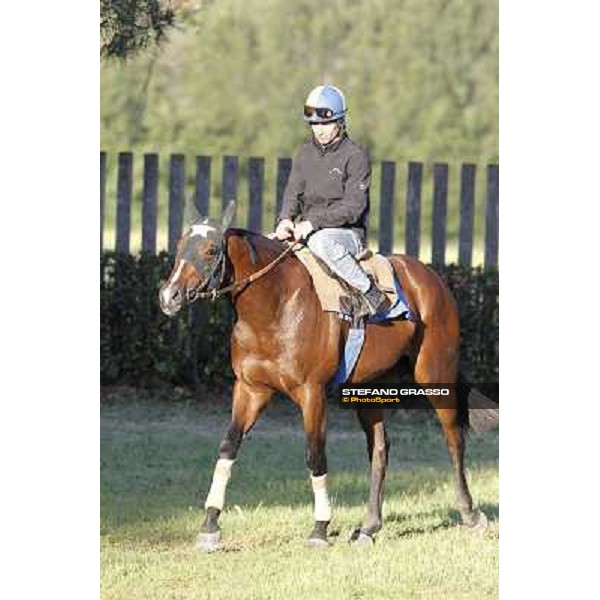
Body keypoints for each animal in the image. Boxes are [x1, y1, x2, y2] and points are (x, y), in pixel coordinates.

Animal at [158, 203, 496, 552]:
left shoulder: (312, 394)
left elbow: (315, 455)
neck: (277, 304)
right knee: (380, 449)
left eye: (211, 250)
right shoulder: (251, 390)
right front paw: (210, 526)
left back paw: (471, 515)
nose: (169, 296)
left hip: (434, 373)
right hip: (369, 390)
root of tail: (430, 278)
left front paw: (320, 528)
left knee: (453, 438)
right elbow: (228, 447)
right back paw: (368, 528)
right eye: (180, 246)